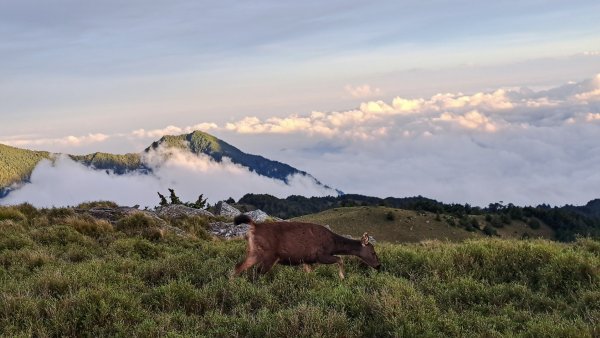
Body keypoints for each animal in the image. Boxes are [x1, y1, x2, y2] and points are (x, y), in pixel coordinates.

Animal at [232, 215, 382, 278]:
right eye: (373, 252)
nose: (378, 266)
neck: (333, 243)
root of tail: (254, 226)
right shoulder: (320, 255)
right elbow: (340, 259)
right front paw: (342, 277)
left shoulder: (307, 260)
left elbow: (310, 274)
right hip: (268, 254)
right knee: (258, 272)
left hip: (254, 251)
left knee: (238, 267)